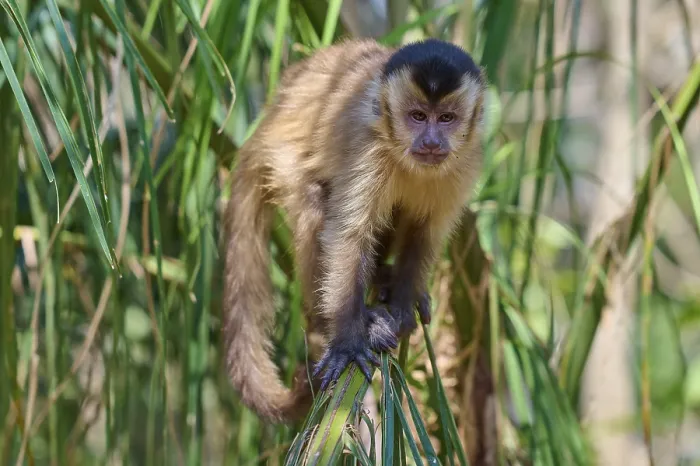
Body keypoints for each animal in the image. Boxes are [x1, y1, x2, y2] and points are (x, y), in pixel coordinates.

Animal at [223, 38, 486, 423]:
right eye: (417, 117)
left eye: (447, 119)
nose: (431, 141)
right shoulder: (368, 147)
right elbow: (348, 236)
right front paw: (348, 342)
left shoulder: (466, 160)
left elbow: (426, 234)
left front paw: (402, 307)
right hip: (281, 155)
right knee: (314, 197)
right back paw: (329, 323)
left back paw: (382, 280)